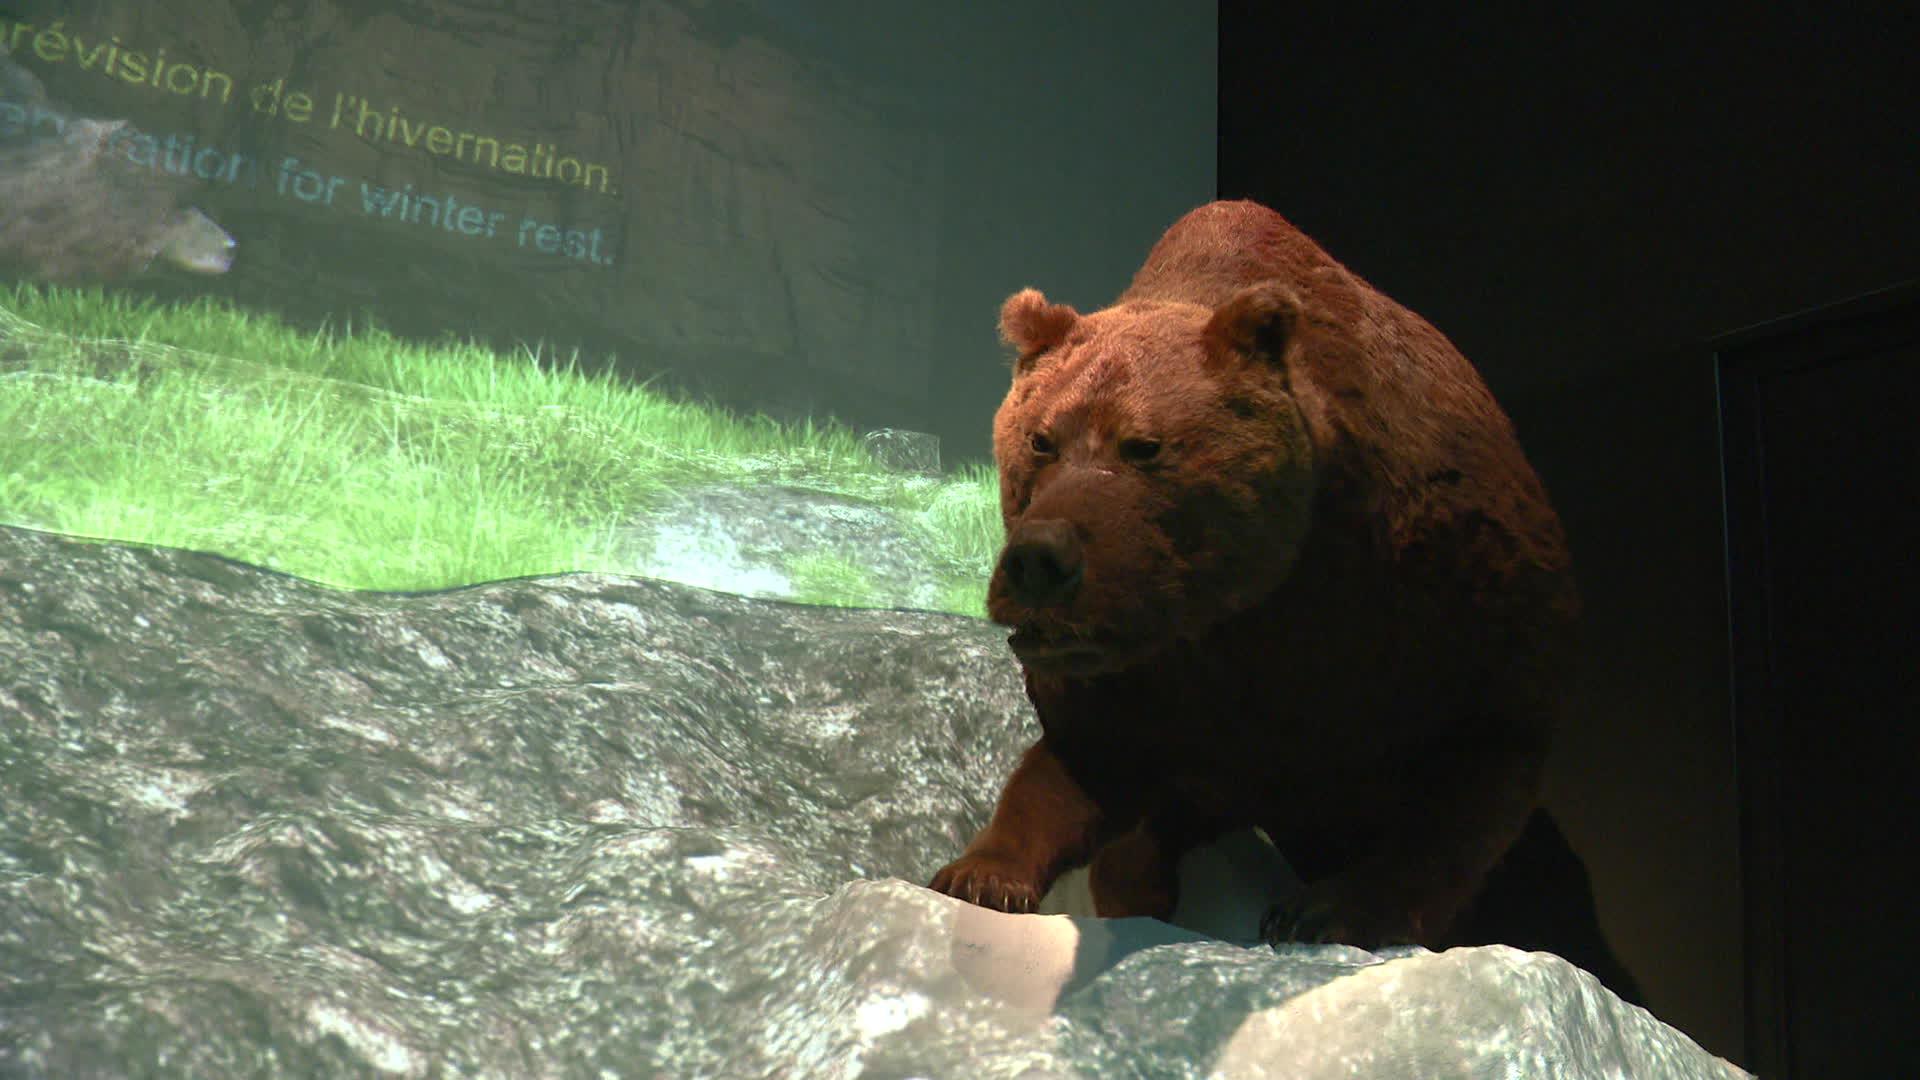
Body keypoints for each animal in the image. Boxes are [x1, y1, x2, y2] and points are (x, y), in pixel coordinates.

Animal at [936, 197, 1582, 953]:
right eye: (1040, 439)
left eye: (1143, 445)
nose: (1039, 560)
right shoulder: (1159, 681)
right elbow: (1076, 762)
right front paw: (981, 872)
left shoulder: (1448, 611)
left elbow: (1469, 779)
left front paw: (1326, 909)